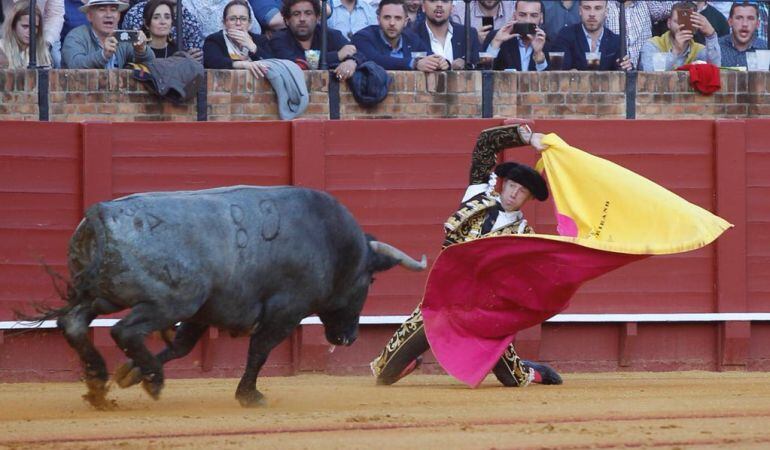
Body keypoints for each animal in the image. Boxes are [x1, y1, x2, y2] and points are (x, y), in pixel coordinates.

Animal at [31, 185, 426, 408]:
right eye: (370, 279)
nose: (348, 338)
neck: (330, 240)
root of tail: (100, 214)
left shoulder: (206, 312)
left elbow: (182, 346)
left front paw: (130, 373)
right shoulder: (285, 310)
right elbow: (260, 350)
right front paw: (249, 396)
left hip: (107, 296)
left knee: (74, 323)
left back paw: (100, 385)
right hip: (171, 301)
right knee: (123, 330)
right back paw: (152, 381)